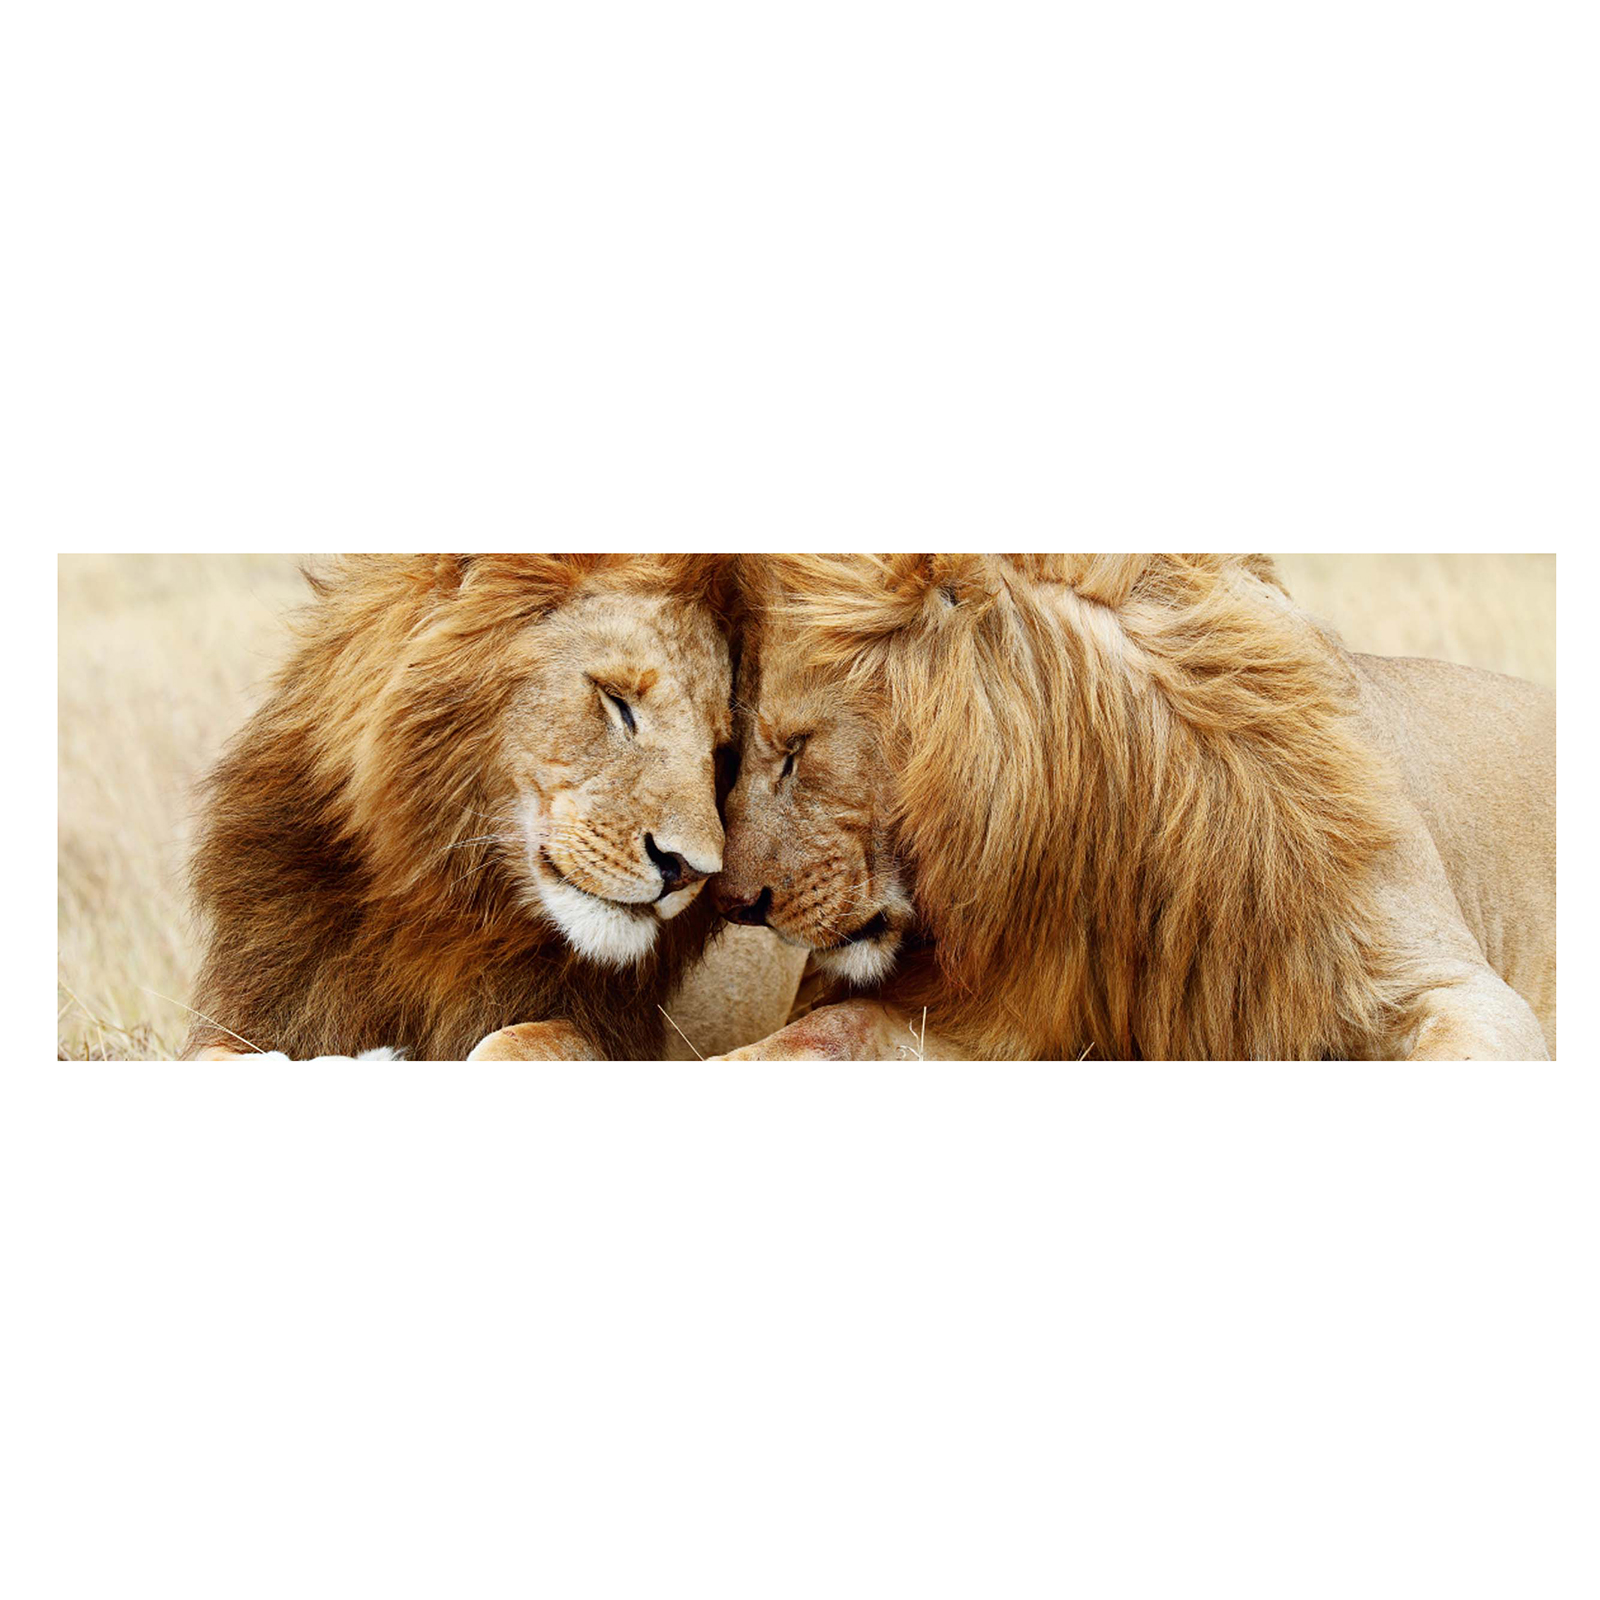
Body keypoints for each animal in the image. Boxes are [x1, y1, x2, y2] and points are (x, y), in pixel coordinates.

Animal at [183, 553, 800, 1061]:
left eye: (720, 751)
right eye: (618, 702)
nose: (690, 871)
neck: (441, 899)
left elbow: (512, 1043)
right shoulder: (268, 1006)